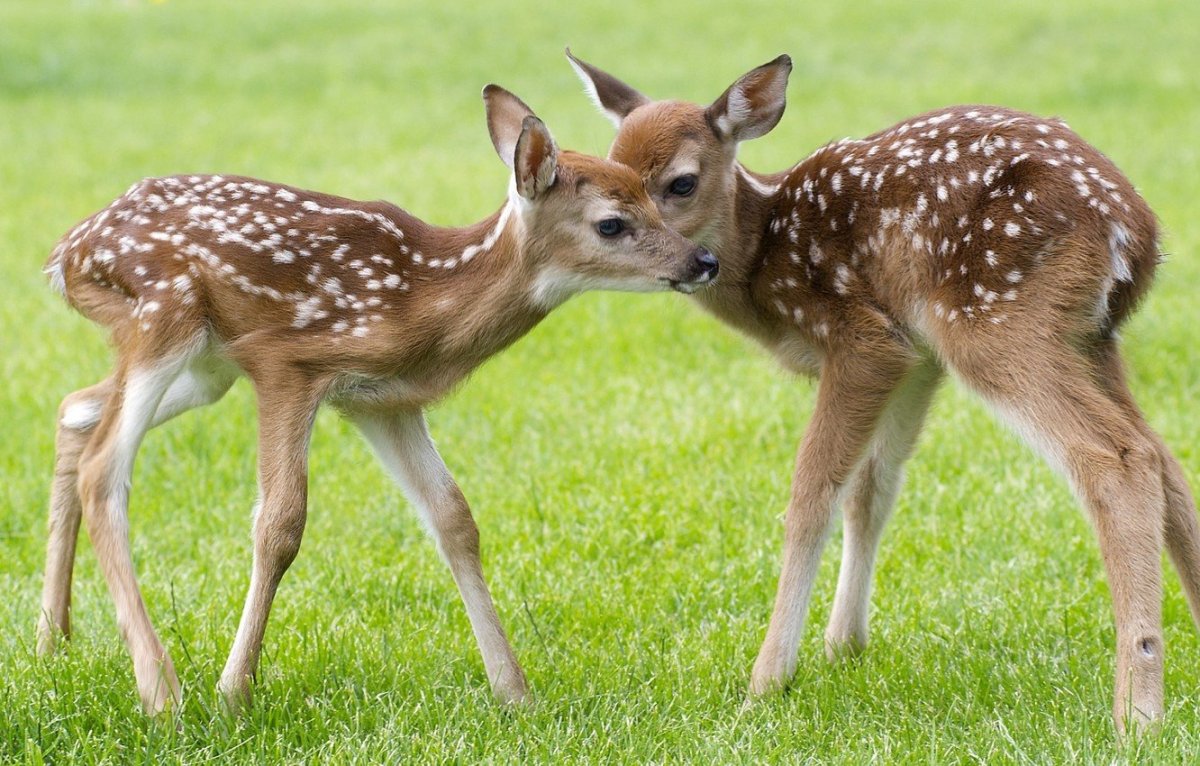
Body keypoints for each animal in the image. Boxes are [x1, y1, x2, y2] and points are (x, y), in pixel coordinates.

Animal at [36, 84, 718, 715]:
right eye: (612, 222)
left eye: (656, 196)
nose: (704, 260)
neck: (424, 299)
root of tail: (64, 255)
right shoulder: (287, 364)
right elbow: (280, 525)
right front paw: (234, 694)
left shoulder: (381, 400)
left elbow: (454, 518)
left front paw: (514, 693)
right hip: (165, 308)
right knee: (104, 466)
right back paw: (162, 695)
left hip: (205, 365)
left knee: (75, 409)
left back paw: (52, 640)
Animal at [565, 50, 1199, 734]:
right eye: (616, 181)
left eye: (680, 183)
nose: (683, 263)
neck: (764, 257)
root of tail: (1136, 232)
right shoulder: (915, 355)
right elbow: (871, 487)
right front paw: (843, 646)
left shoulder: (862, 338)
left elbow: (812, 492)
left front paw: (768, 680)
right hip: (1090, 336)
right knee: (1162, 456)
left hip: (993, 319)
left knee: (1117, 456)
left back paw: (1137, 714)